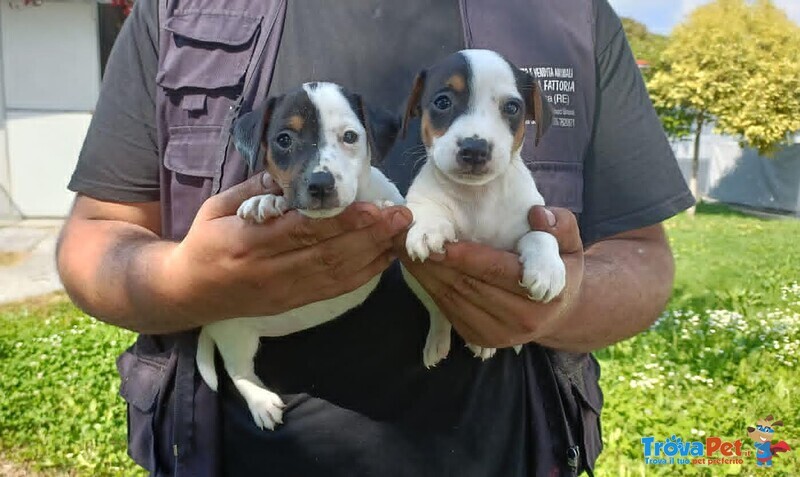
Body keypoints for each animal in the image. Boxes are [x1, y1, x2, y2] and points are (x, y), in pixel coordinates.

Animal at [195, 81, 406, 428]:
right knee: (238, 371)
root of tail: (209, 325)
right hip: (236, 333)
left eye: (350, 137)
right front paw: (265, 201)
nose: (320, 184)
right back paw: (261, 402)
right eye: (284, 139)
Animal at [404, 49, 564, 368]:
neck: (477, 196)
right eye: (442, 102)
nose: (474, 148)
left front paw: (547, 267)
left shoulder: (532, 213)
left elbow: (541, 234)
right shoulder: (419, 202)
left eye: (512, 107)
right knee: (438, 312)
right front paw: (428, 229)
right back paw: (438, 342)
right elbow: (426, 212)